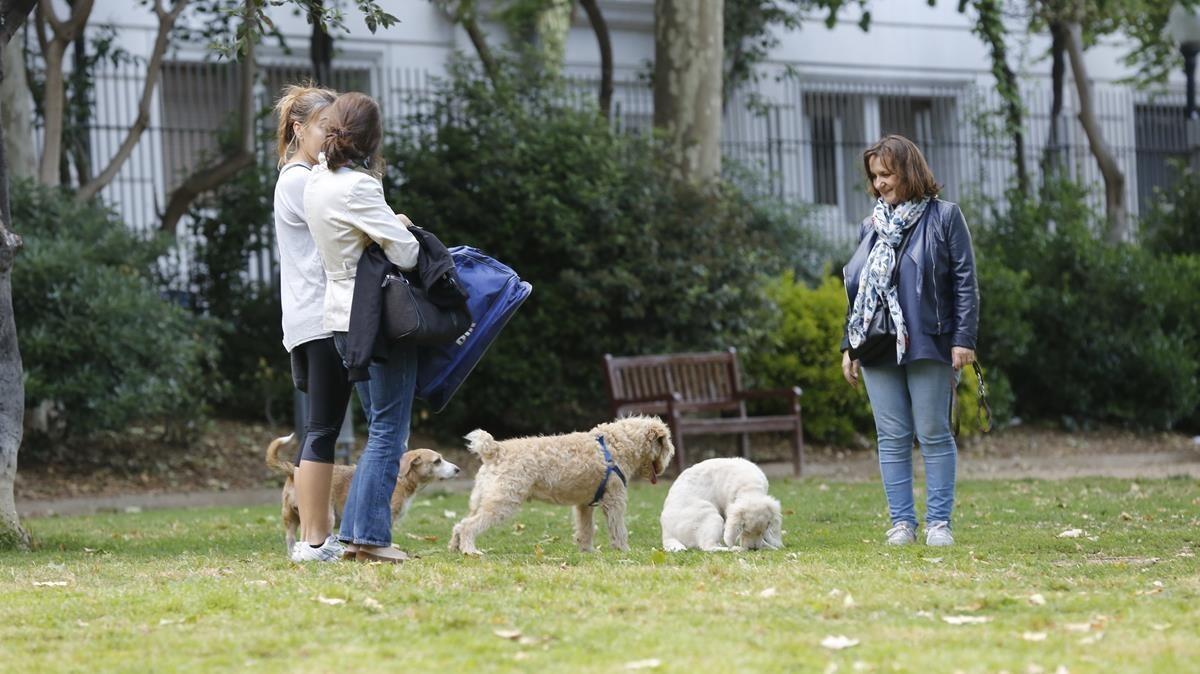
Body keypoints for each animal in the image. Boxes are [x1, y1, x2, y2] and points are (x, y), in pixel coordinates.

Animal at [265, 429, 460, 551]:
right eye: (437, 461)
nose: (458, 469)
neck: (402, 479)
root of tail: (293, 472)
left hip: (290, 518)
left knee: (291, 539)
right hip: (326, 517)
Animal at [451, 417, 676, 554]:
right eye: (666, 446)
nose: (667, 464)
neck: (616, 444)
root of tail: (495, 450)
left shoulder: (584, 505)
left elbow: (586, 529)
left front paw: (587, 552)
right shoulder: (615, 500)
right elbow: (618, 528)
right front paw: (623, 550)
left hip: (482, 500)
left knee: (460, 524)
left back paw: (455, 547)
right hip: (502, 502)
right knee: (469, 526)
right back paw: (470, 550)